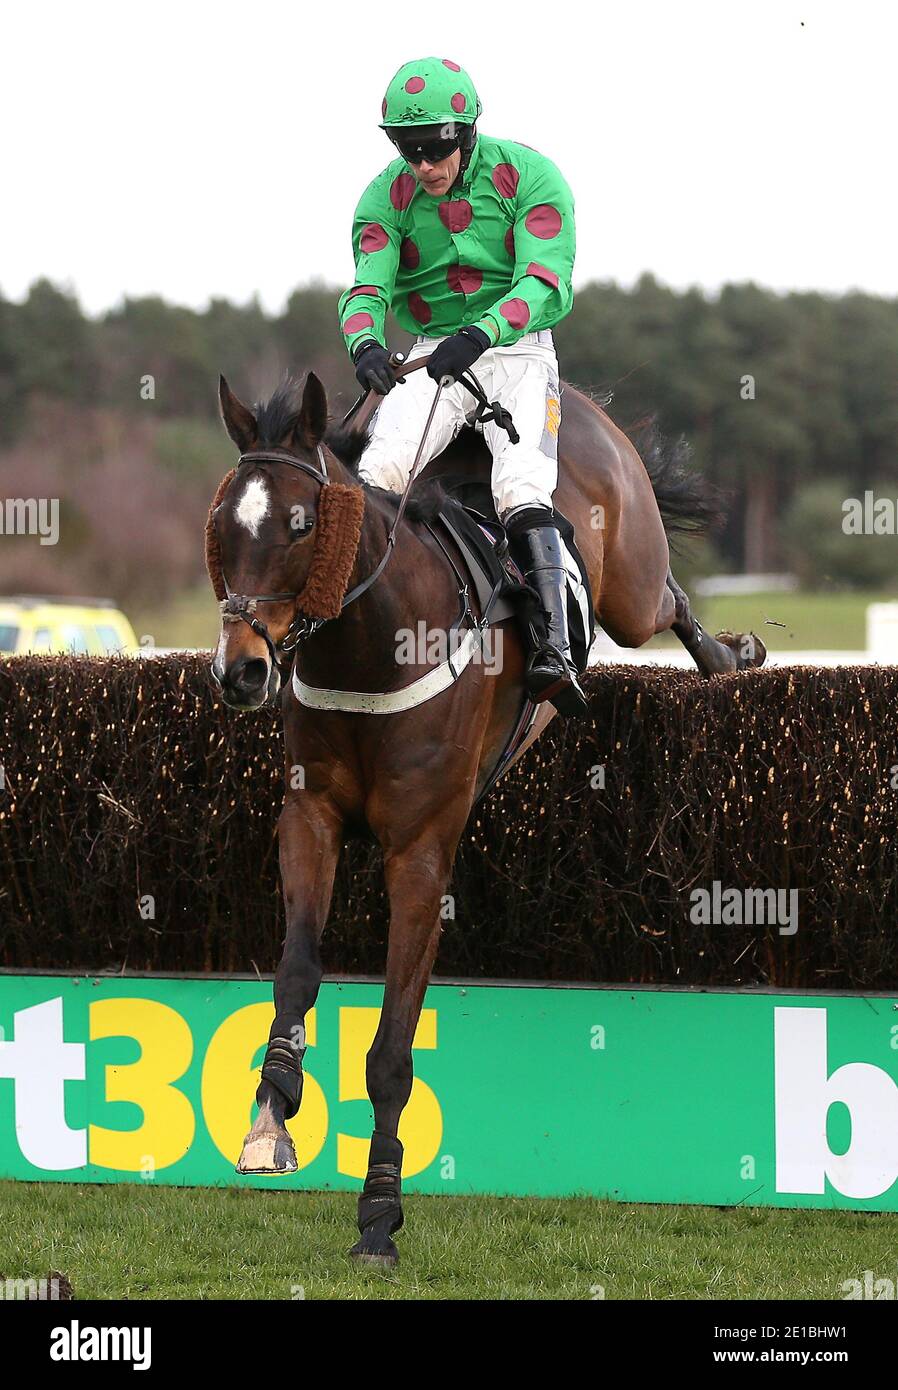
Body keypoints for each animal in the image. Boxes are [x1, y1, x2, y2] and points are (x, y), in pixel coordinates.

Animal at [205, 364, 767, 1267]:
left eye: (300, 525)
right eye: (224, 524)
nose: (242, 670)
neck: (374, 646)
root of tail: (584, 404)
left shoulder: (421, 851)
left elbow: (393, 1050)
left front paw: (379, 1215)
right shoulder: (310, 818)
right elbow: (295, 970)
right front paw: (271, 1112)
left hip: (627, 582)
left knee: (666, 596)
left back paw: (732, 654)